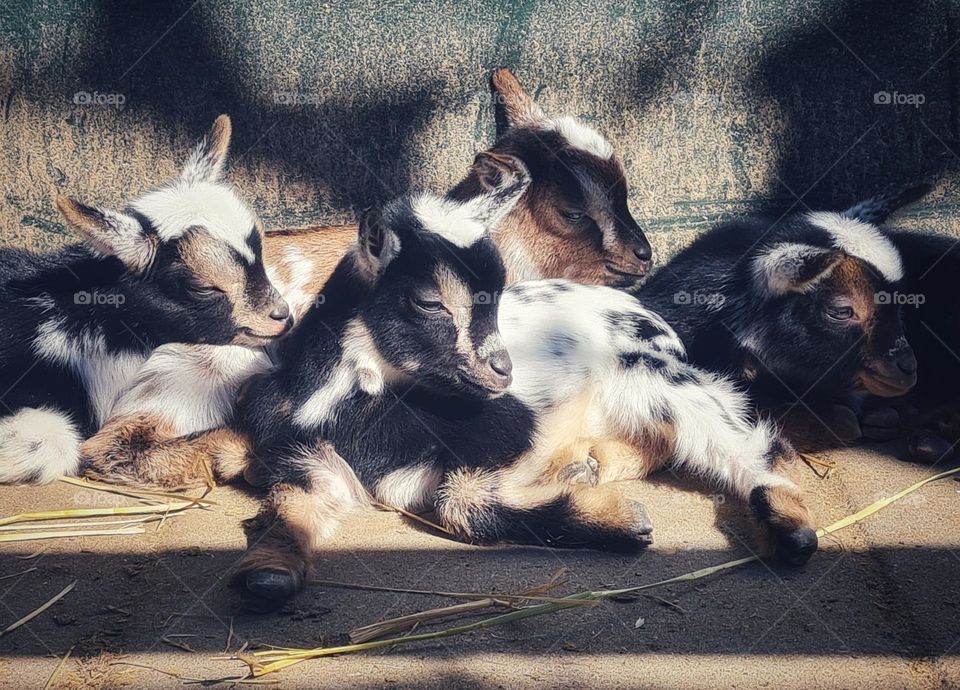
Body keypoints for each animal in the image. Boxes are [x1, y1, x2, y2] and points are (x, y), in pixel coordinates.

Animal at [230, 175, 816, 613]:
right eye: (429, 300)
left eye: (496, 292)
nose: (502, 371)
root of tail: (645, 312)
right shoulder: (299, 451)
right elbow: (288, 503)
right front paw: (268, 575)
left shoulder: (500, 433)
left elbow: (459, 504)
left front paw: (623, 520)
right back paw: (586, 467)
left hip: (648, 370)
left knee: (747, 440)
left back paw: (791, 531)